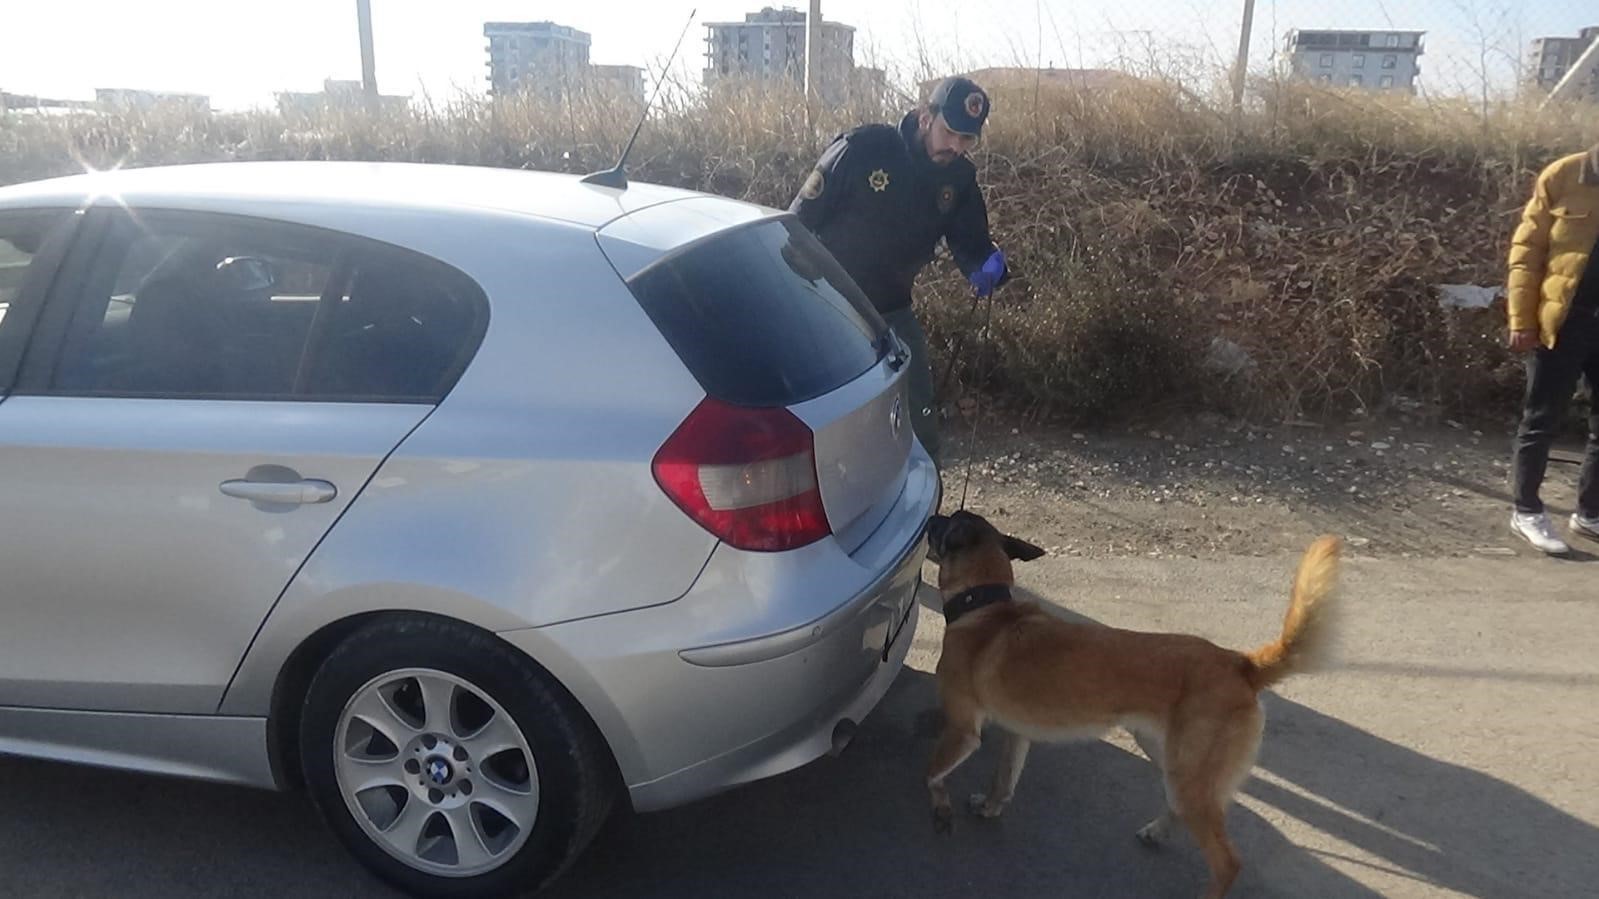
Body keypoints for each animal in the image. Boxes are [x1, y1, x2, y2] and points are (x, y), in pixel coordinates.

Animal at [921, 508, 1343, 889]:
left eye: (948, 521)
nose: (932, 515)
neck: (985, 607)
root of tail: (1242, 663)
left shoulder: (961, 731)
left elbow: (932, 775)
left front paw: (940, 808)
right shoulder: (1017, 734)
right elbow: (1003, 780)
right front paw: (991, 807)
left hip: (1188, 776)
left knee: (1227, 862)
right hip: (1172, 763)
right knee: (1184, 811)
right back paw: (1157, 832)